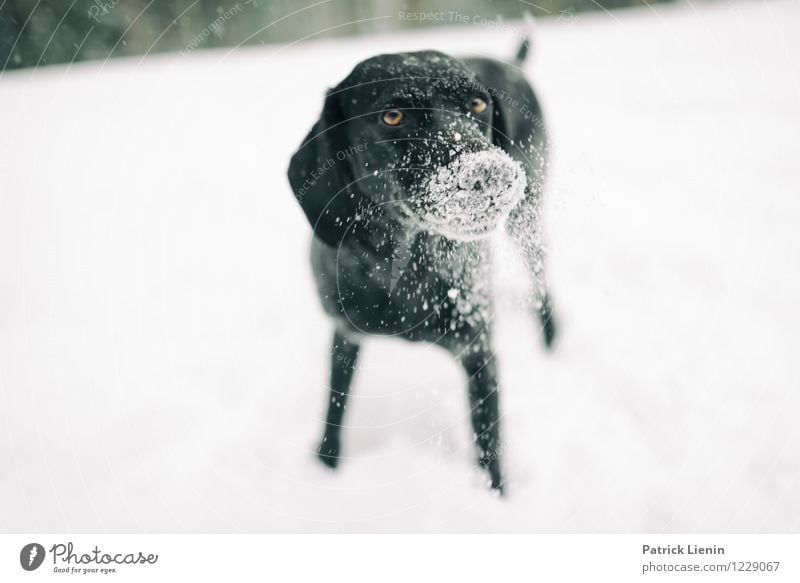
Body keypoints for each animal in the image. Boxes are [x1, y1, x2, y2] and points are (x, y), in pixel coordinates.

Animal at [288, 37, 556, 492]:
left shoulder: (479, 352)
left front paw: (495, 499)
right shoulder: (344, 334)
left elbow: (489, 449)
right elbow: (334, 408)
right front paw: (326, 468)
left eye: (478, 105)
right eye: (393, 116)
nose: (494, 175)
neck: (407, 266)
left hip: (527, 219)